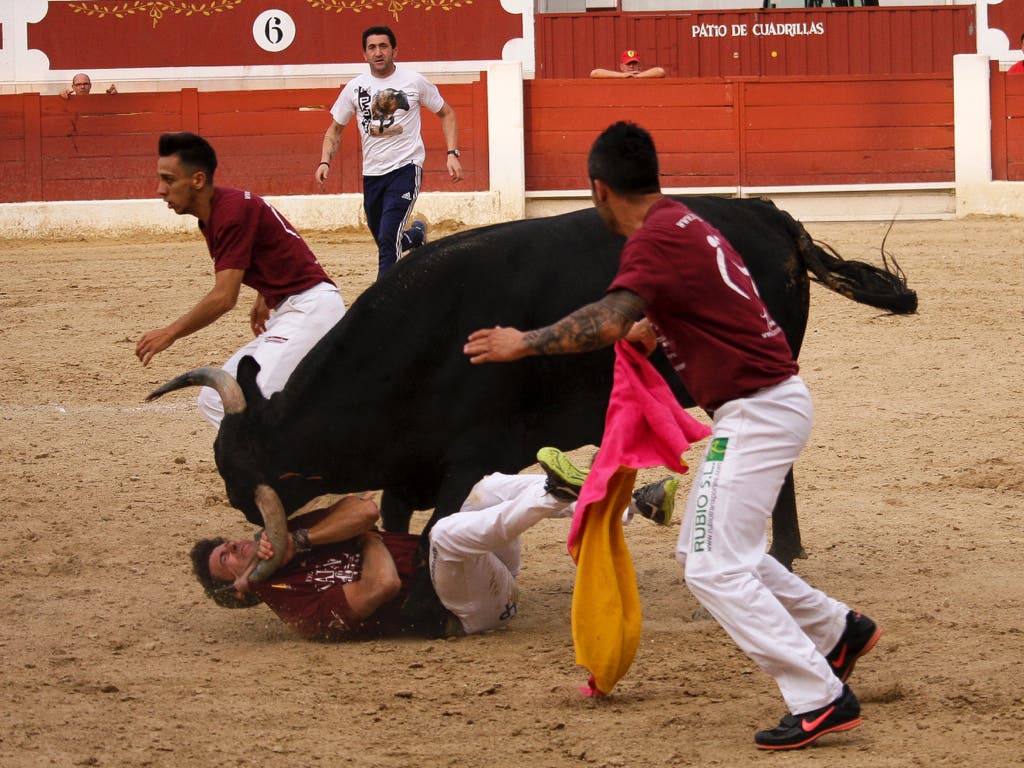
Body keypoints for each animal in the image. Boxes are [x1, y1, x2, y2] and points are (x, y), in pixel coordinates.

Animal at [149, 196, 913, 581]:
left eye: (242, 475)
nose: (240, 510)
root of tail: (768, 215)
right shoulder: (406, 470)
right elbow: (397, 523)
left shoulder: (467, 459)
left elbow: (438, 528)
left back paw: (777, 551)